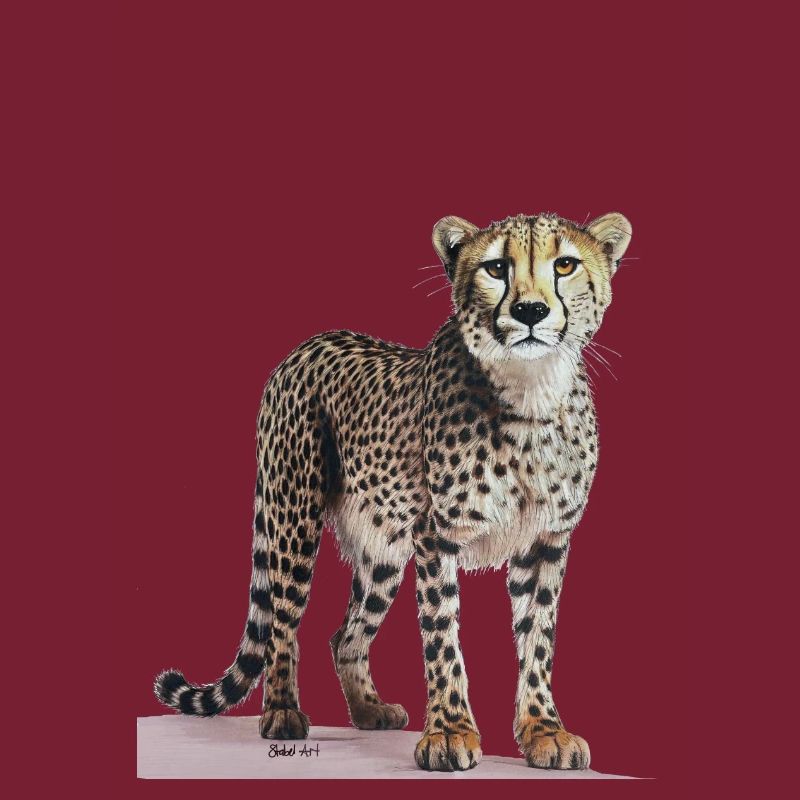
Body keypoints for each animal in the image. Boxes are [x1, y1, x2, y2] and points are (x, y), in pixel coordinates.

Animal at [154, 211, 632, 772]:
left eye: (565, 265)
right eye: (496, 267)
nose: (530, 310)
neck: (530, 393)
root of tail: (309, 343)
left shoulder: (546, 541)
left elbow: (539, 638)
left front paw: (544, 730)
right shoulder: (437, 536)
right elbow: (443, 637)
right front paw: (450, 734)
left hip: (381, 548)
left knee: (346, 634)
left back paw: (367, 709)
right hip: (294, 516)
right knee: (281, 621)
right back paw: (282, 711)